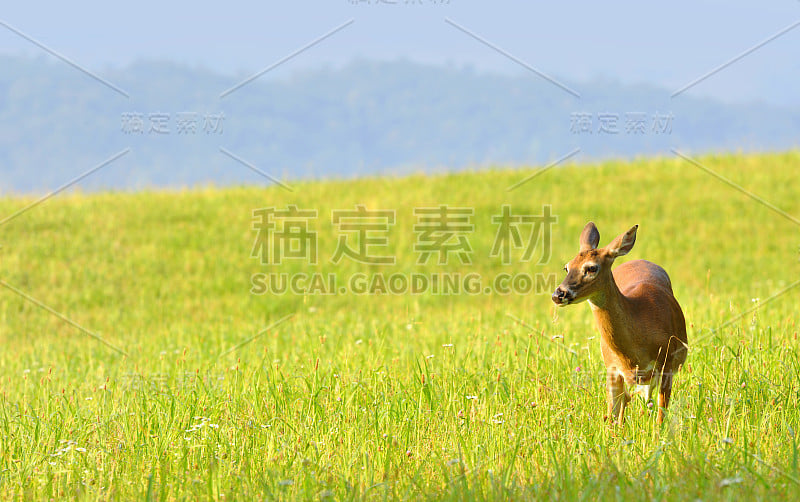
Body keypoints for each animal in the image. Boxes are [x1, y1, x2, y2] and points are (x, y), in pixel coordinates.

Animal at [552, 224, 688, 424]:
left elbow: (661, 416)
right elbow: (613, 417)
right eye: (566, 267)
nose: (558, 294)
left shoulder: (667, 362)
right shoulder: (612, 368)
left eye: (591, 268)